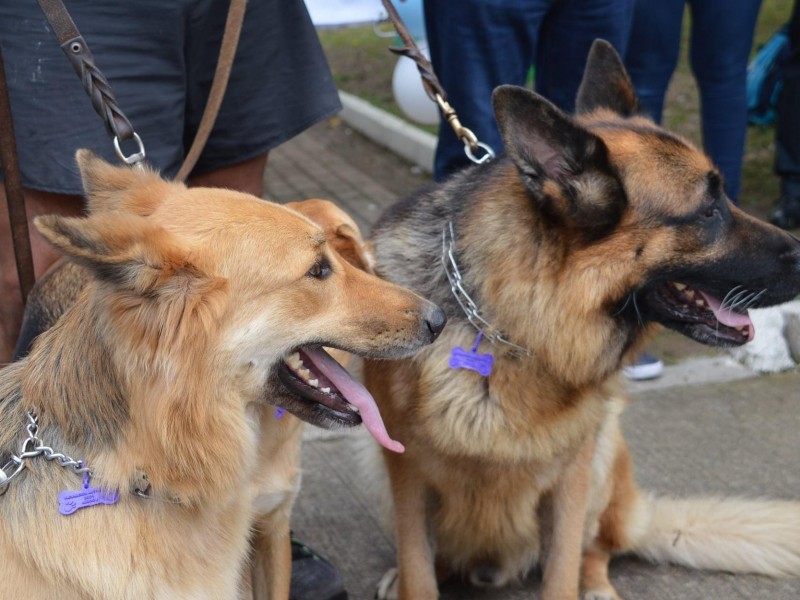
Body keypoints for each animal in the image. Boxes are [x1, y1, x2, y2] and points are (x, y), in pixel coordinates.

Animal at [362, 41, 800, 600]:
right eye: (708, 212)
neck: (512, 328)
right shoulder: (406, 473)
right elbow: (419, 568)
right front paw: (410, 576)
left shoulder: (571, 473)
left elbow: (562, 570)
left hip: (602, 456)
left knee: (595, 550)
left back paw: (597, 584)